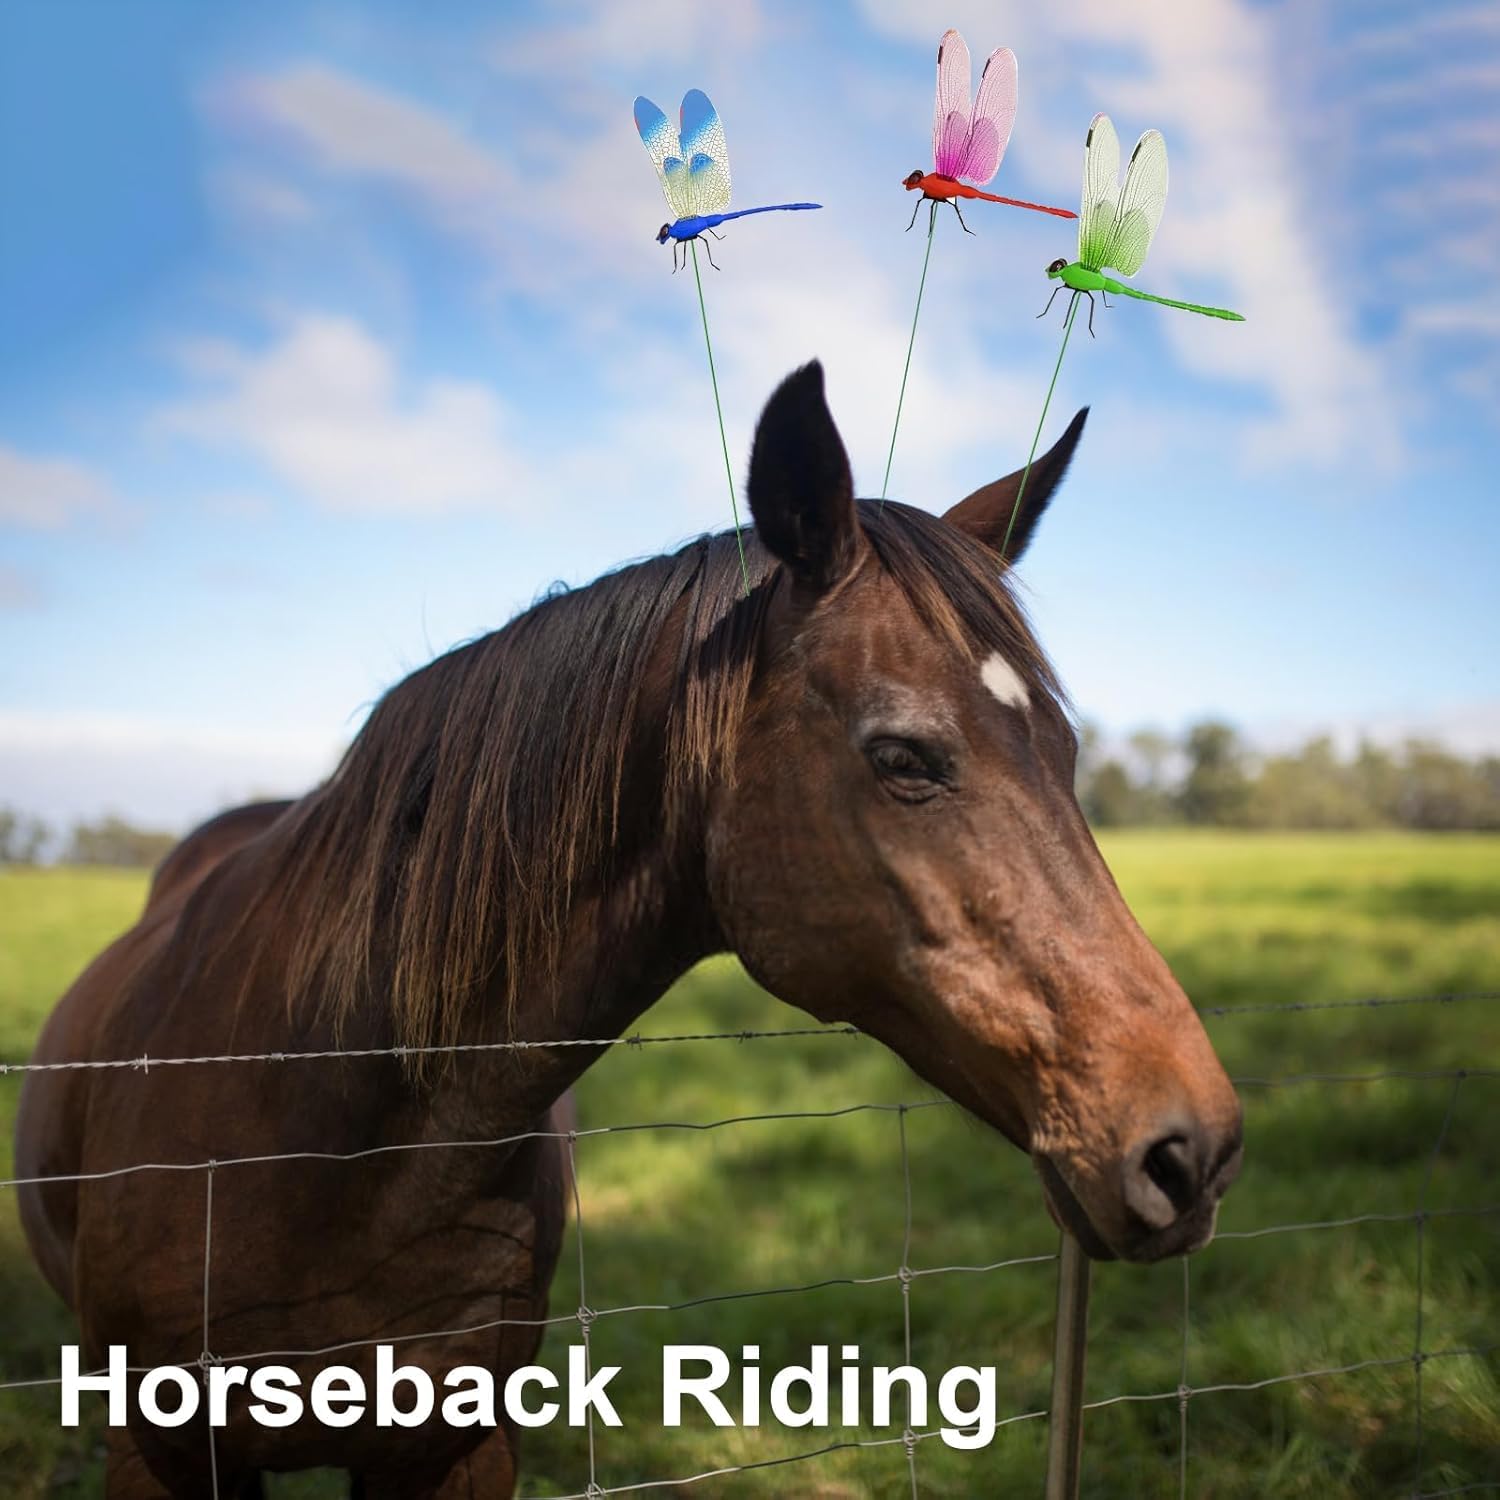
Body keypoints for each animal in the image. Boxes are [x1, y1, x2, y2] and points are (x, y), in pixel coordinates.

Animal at [15, 362, 1242, 1497]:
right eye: (903, 757)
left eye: (1069, 754)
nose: (1194, 1149)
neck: (325, 1124)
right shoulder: (160, 1453)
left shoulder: (457, 1450)